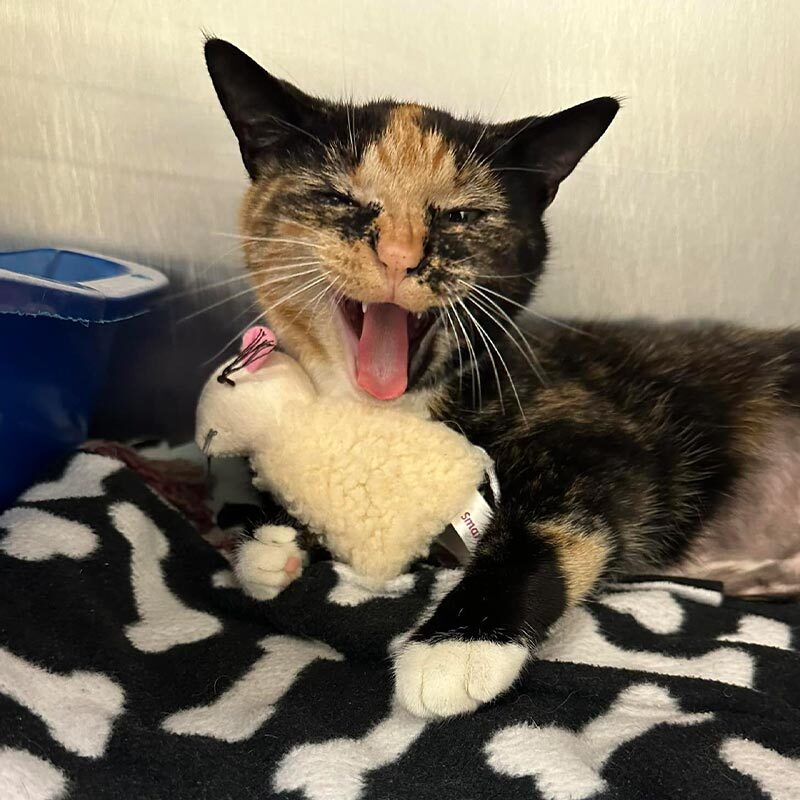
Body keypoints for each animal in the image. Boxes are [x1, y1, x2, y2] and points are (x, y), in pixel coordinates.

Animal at [205, 39, 800, 720]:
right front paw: (274, 537)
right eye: (339, 198)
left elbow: (544, 525)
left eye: (461, 214)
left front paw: (458, 644)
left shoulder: (603, 431)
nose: (400, 257)